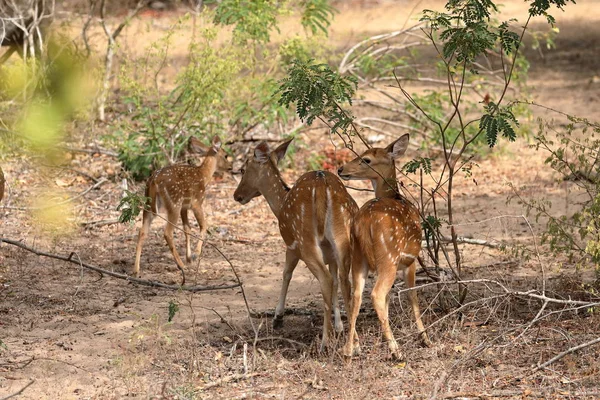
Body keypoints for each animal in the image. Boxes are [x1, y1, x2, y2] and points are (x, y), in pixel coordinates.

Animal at [135, 136, 231, 282]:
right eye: (226, 155)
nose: (232, 167)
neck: (204, 176)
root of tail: (154, 181)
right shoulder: (196, 202)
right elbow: (204, 225)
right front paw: (195, 255)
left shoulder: (184, 207)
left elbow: (187, 229)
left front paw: (189, 258)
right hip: (174, 203)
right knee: (167, 232)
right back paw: (180, 265)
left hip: (149, 205)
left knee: (142, 231)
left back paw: (136, 270)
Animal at [233, 141, 356, 350]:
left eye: (242, 169)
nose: (237, 195)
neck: (281, 201)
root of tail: (322, 186)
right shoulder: (331, 254)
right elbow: (336, 281)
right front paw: (339, 326)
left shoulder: (291, 246)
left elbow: (286, 274)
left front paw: (278, 317)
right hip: (342, 237)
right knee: (344, 282)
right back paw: (353, 343)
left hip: (305, 239)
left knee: (325, 279)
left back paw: (325, 342)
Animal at [338, 134, 432, 360]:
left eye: (366, 159)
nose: (341, 169)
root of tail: (365, 223)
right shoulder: (410, 260)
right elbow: (412, 296)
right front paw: (425, 339)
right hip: (389, 256)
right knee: (377, 294)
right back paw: (396, 350)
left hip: (358, 258)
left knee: (356, 296)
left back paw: (350, 351)